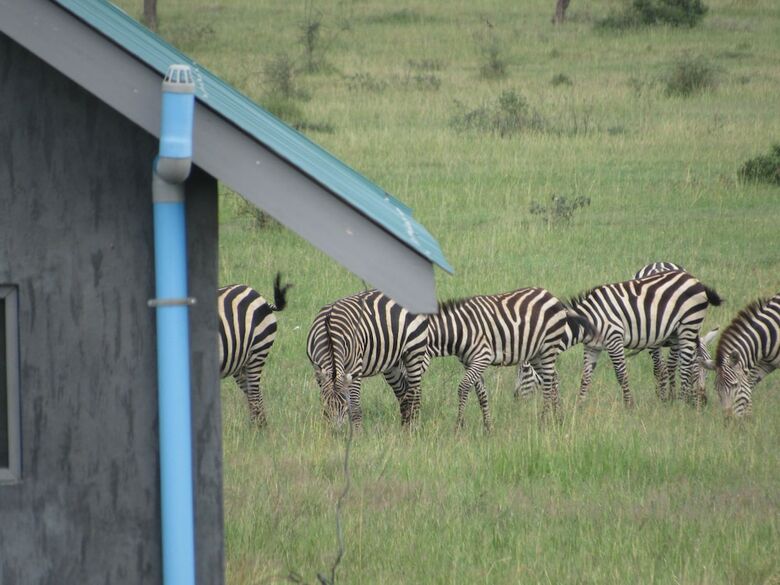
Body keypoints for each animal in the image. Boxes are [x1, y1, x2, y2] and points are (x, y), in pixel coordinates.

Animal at [218, 273, 292, 426]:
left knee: (254, 394)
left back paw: (257, 429)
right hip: (239, 361)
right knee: (253, 392)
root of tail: (256, 293)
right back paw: (259, 426)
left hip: (258, 351)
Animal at [306, 290, 429, 429]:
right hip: (393, 362)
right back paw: (404, 428)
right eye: (326, 404)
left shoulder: (354, 369)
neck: (330, 334)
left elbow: (355, 407)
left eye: (345, 406)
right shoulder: (319, 373)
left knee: (415, 392)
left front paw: (357, 434)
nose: (337, 431)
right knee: (403, 393)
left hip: (415, 350)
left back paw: (413, 428)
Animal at [427, 288, 593, 429]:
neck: (461, 329)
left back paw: (544, 422)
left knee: (547, 382)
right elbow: (481, 393)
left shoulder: (482, 357)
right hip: (537, 353)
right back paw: (557, 419)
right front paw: (488, 428)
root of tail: (549, 294)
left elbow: (463, 387)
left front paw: (458, 426)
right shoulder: (468, 362)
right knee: (553, 379)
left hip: (548, 346)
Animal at [571, 270, 722, 407]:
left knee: (680, 365)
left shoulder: (614, 338)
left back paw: (677, 401)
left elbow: (622, 374)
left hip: (687, 325)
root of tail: (696, 281)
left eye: (708, 373)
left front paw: (630, 405)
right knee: (674, 365)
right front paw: (579, 405)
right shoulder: (594, 346)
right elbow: (586, 376)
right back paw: (676, 400)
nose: (703, 402)